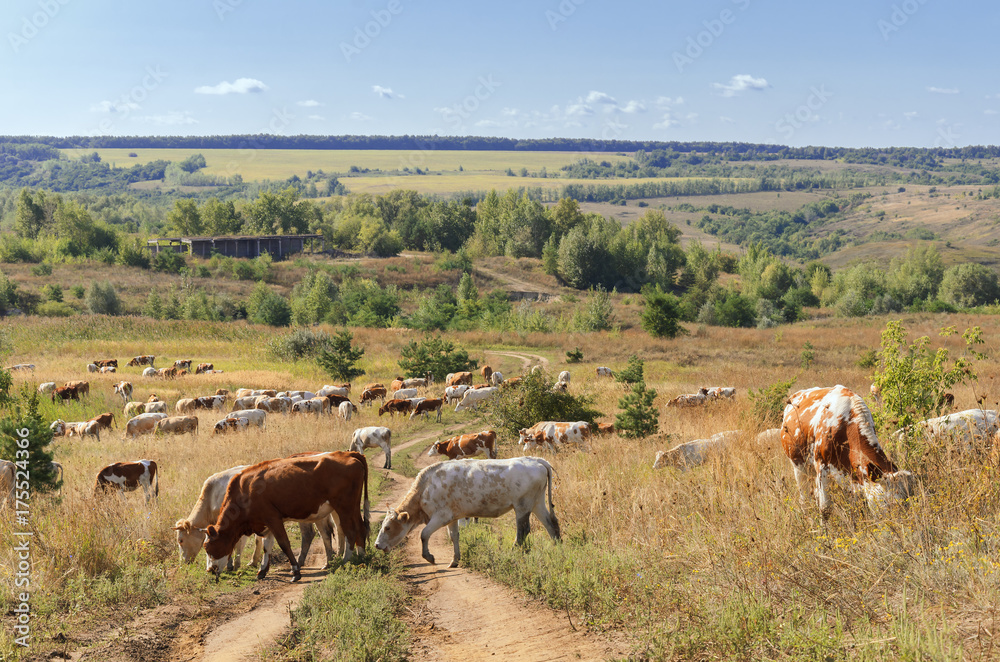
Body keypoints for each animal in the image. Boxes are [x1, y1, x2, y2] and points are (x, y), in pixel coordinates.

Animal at [203, 454, 372, 584]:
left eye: (207, 547)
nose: (210, 570)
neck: (246, 489)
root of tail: (349, 455)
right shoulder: (266, 523)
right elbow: (267, 546)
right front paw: (262, 570)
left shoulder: (273, 519)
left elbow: (284, 544)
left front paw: (296, 572)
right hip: (353, 507)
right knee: (361, 529)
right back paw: (361, 557)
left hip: (345, 507)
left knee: (350, 531)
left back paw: (345, 560)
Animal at [376, 456, 564, 572]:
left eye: (387, 527)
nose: (377, 545)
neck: (426, 487)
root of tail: (535, 459)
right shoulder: (452, 517)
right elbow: (454, 537)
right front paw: (455, 560)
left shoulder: (441, 516)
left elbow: (424, 534)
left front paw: (429, 557)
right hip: (537, 503)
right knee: (551, 524)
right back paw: (557, 549)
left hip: (523, 506)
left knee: (523, 531)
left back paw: (513, 551)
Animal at [784, 386, 916, 520]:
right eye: (890, 503)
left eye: (908, 501)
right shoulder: (821, 466)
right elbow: (825, 509)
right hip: (799, 467)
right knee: (804, 499)